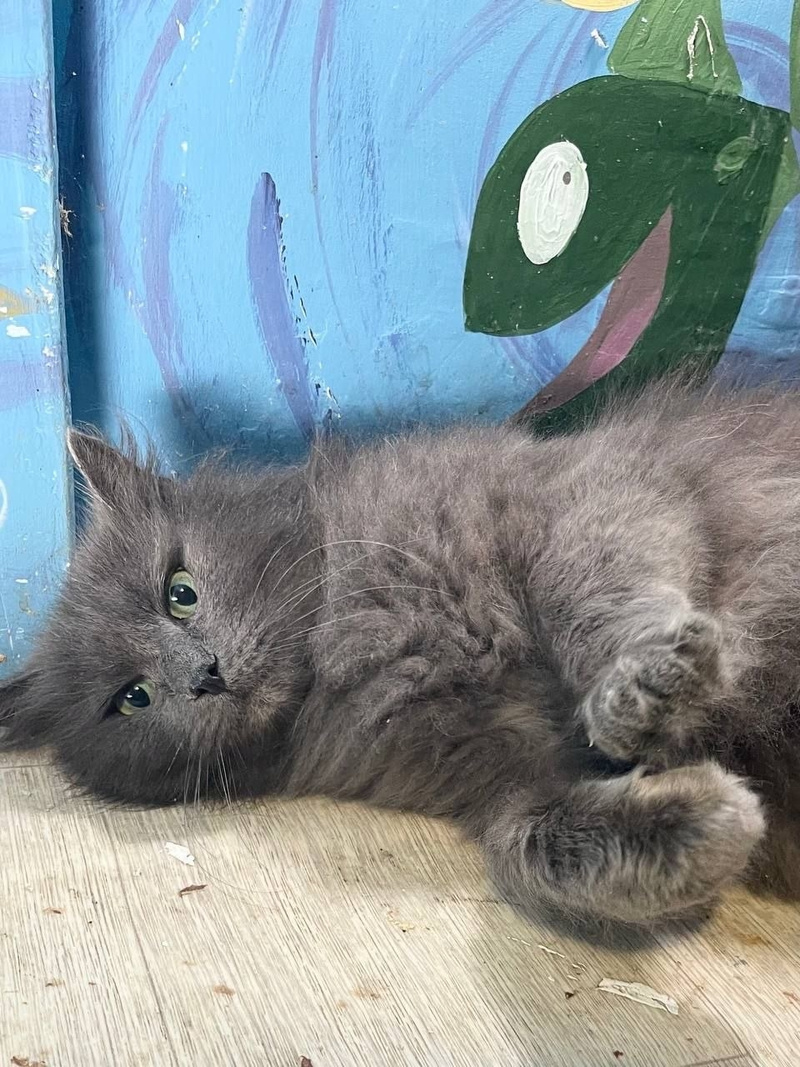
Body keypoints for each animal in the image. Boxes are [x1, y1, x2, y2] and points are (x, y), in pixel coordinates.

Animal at [5, 378, 800, 926]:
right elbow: (528, 845)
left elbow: (595, 601)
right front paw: (707, 827)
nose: (204, 675)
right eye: (132, 698)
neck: (352, 650)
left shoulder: (575, 496)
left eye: (180, 593)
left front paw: (648, 694)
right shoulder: (501, 773)